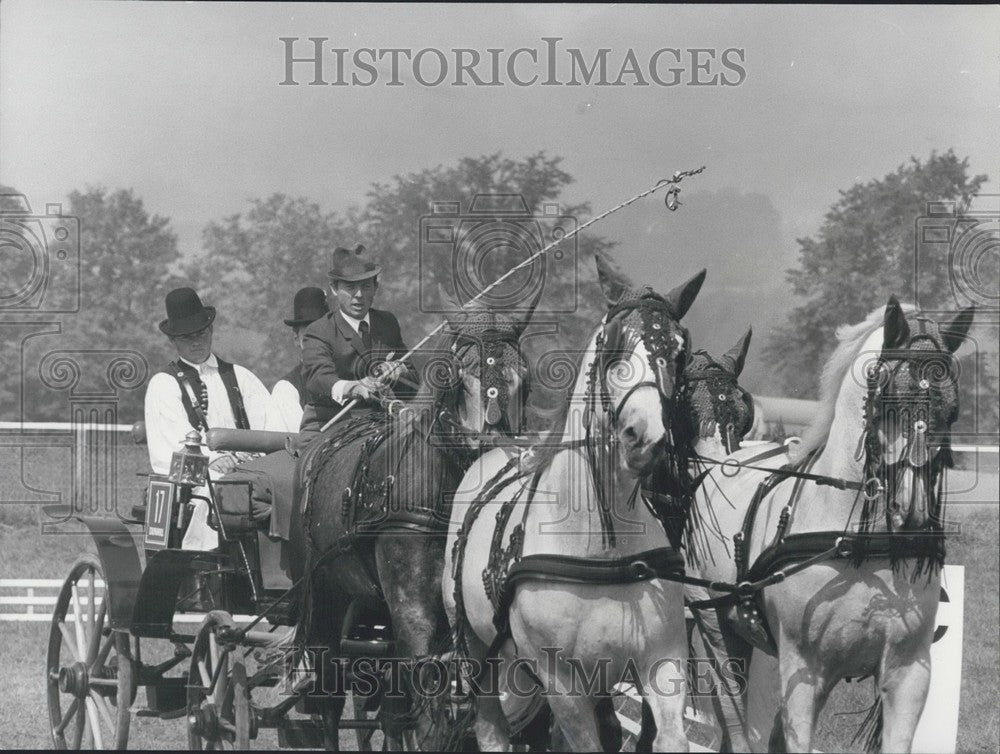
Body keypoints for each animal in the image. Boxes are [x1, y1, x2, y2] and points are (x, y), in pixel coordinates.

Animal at [292, 300, 536, 748]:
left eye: (523, 377)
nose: (493, 448)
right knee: (329, 694)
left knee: (390, 708)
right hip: (324, 597)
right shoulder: (415, 614)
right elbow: (430, 704)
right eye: (458, 375)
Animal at [442, 256, 708, 748]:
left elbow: (669, 736)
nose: (644, 438)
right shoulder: (561, 682)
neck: (600, 544)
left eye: (679, 352)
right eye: (614, 344)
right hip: (475, 650)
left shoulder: (662, 661)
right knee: (490, 728)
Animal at [684, 296, 972, 748]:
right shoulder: (803, 672)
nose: (912, 511)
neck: (855, 544)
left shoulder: (908, 673)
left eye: (952, 411)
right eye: (888, 398)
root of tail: (722, 461)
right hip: (717, 631)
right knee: (737, 724)